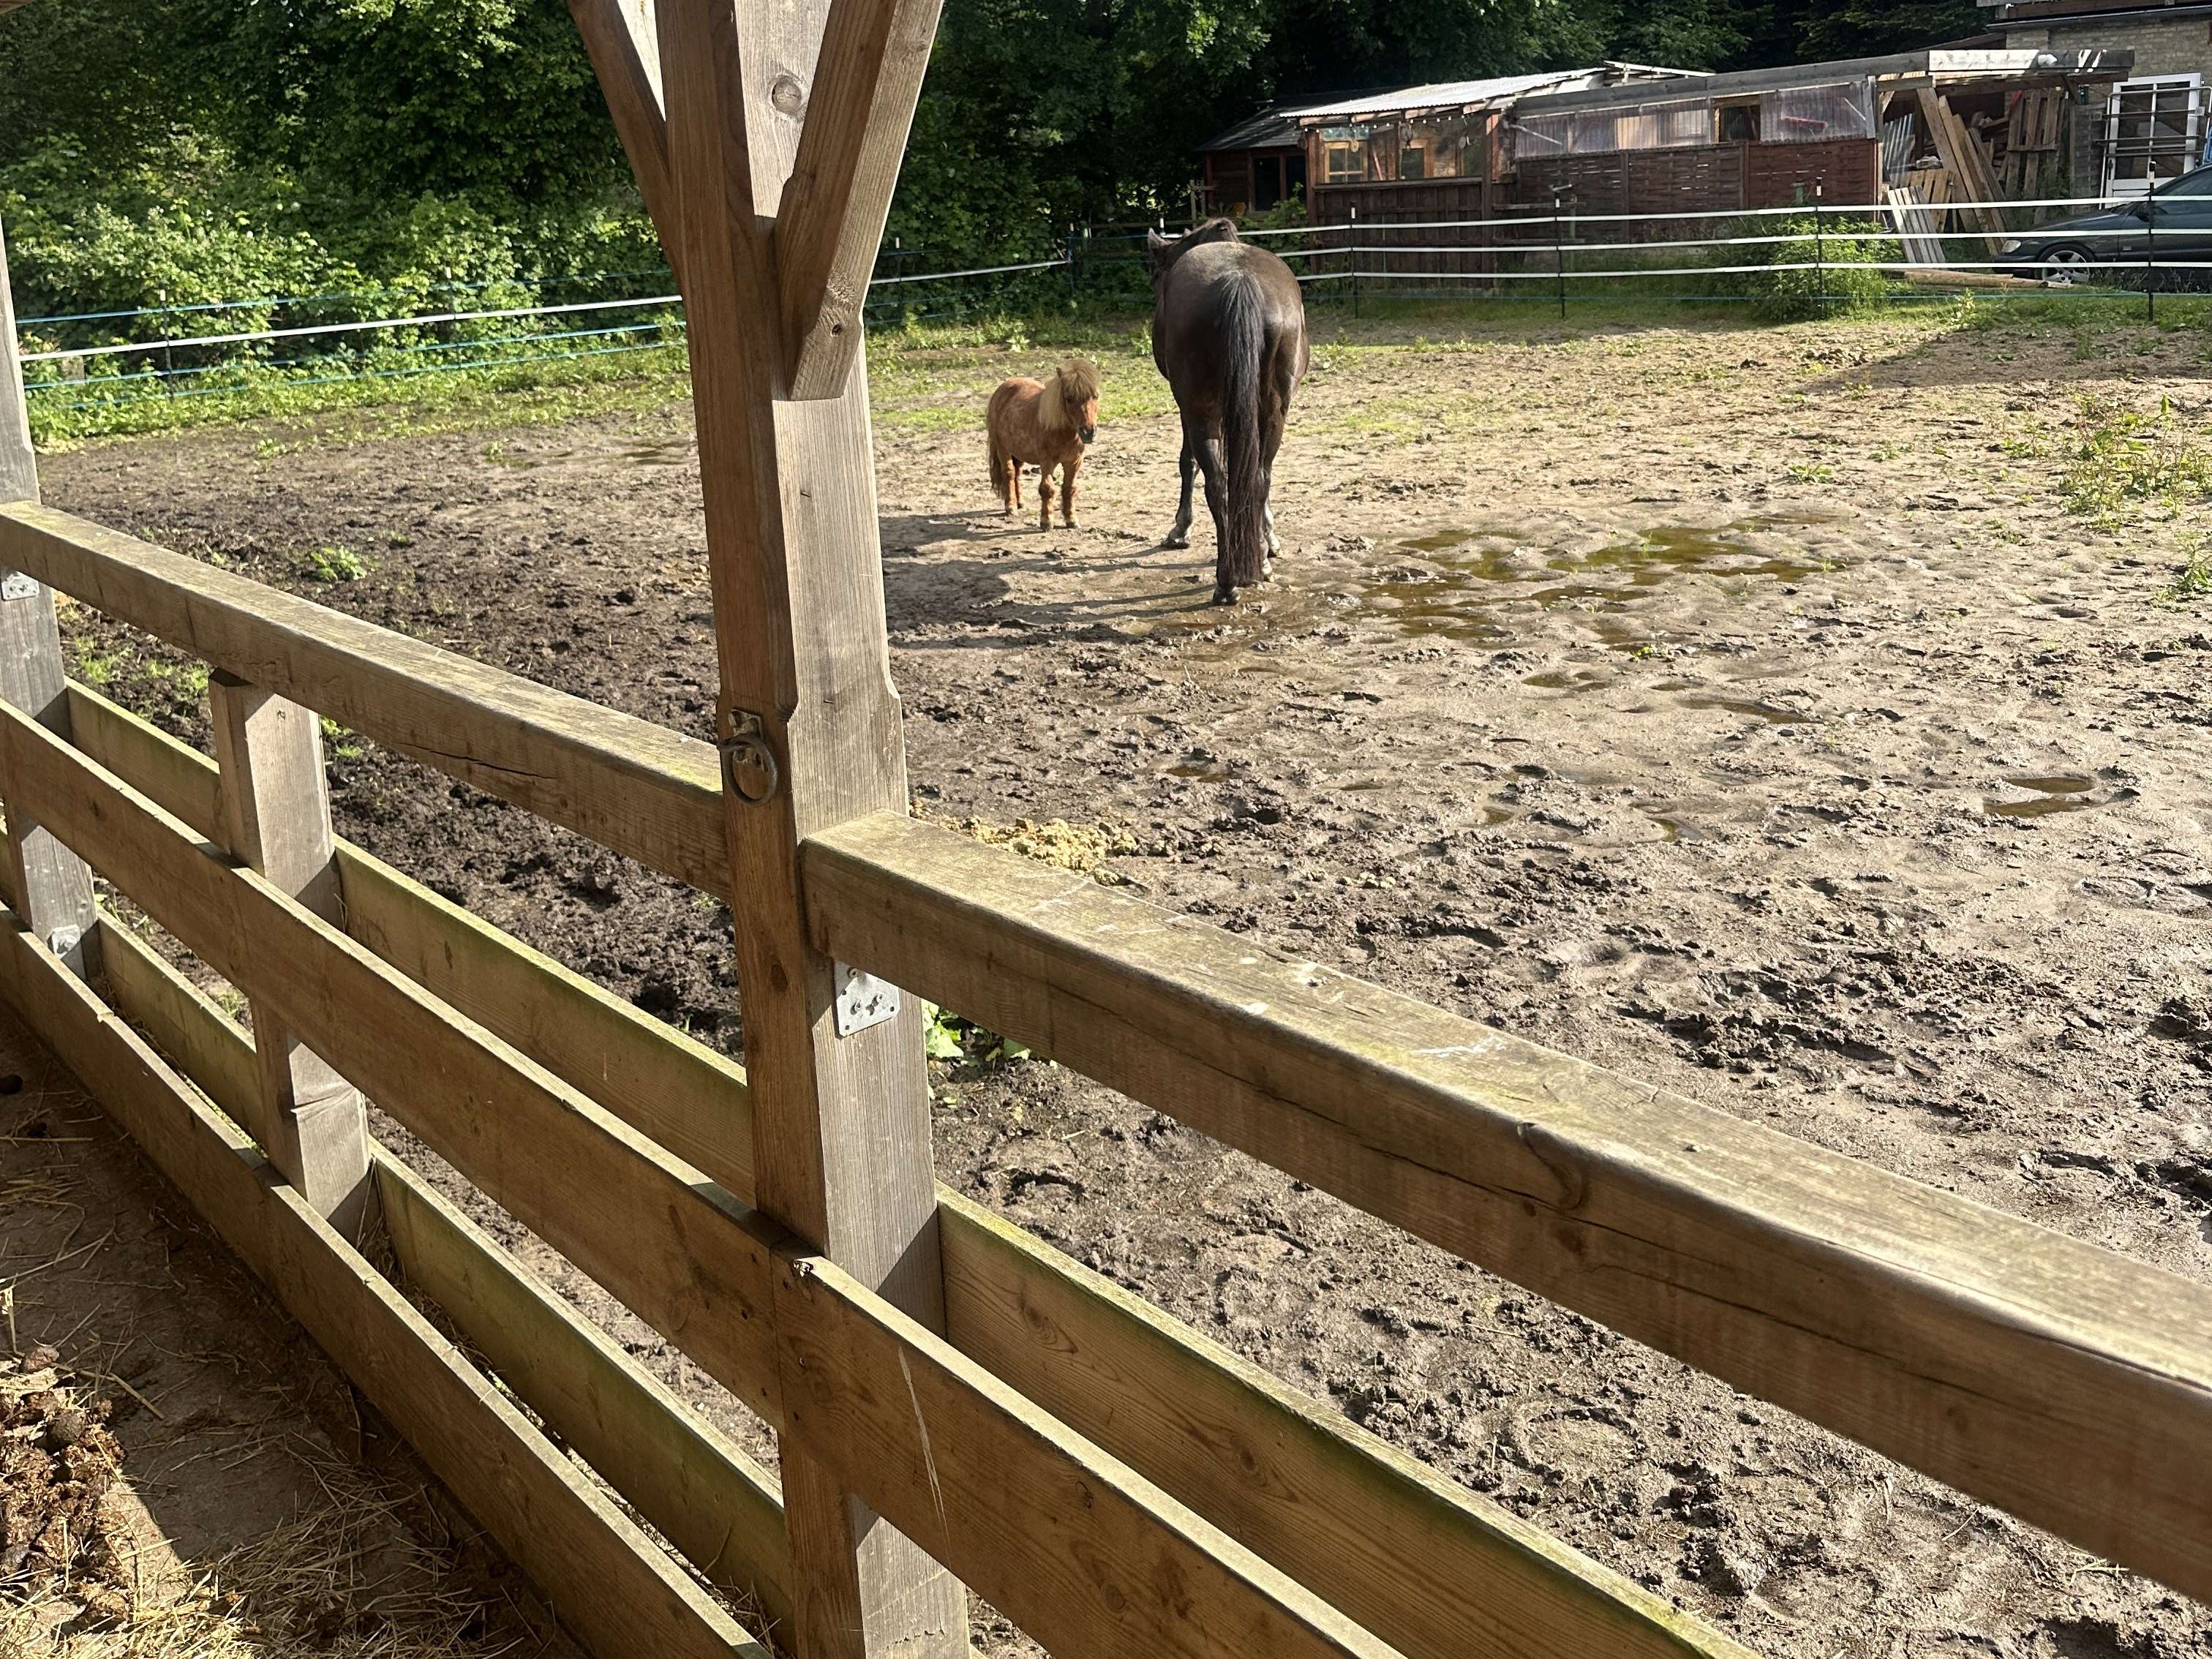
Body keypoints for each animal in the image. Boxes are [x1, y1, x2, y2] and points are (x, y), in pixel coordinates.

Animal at [986, 358, 1101, 530]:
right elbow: (1047, 489)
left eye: (1096, 396)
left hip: (1018, 452)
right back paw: (1011, 506)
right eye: (1068, 398)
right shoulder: (1047, 462)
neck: (1063, 431)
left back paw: (1020, 503)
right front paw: (1046, 521)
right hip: (1003, 449)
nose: (1088, 432)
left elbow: (1069, 489)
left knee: (1017, 473)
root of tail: (1002, 389)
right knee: (1009, 473)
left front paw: (1071, 520)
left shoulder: (1074, 462)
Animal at [1146, 218, 1308, 604]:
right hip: (1273, 412)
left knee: (1218, 484)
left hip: (1199, 411)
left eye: (1155, 273)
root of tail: (1239, 280)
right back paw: (1254, 565)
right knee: (1256, 478)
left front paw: (1180, 528)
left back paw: (1227, 580)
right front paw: (1268, 541)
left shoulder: (1187, 407)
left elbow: (1186, 461)